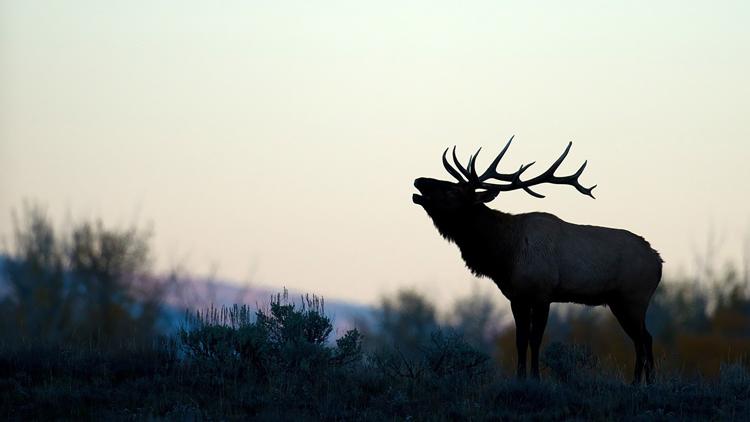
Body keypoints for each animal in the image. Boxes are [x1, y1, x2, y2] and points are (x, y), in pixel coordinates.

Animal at [414, 137, 668, 384]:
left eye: (454, 191)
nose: (419, 181)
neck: (504, 255)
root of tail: (658, 261)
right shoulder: (516, 297)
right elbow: (520, 339)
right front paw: (520, 377)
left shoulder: (542, 293)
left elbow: (535, 339)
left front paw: (535, 377)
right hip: (619, 301)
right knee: (644, 337)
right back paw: (646, 382)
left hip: (634, 297)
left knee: (643, 338)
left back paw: (641, 383)